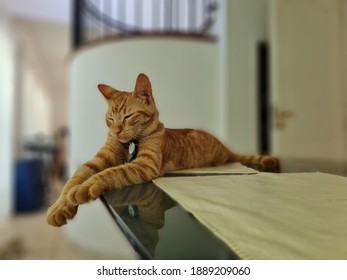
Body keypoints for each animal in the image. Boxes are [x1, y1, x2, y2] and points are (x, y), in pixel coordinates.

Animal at [46, 73, 280, 226]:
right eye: (110, 119)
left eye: (128, 116)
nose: (116, 131)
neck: (130, 143)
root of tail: (223, 145)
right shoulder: (96, 160)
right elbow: (74, 179)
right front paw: (60, 206)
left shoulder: (145, 164)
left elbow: (110, 173)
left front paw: (85, 188)